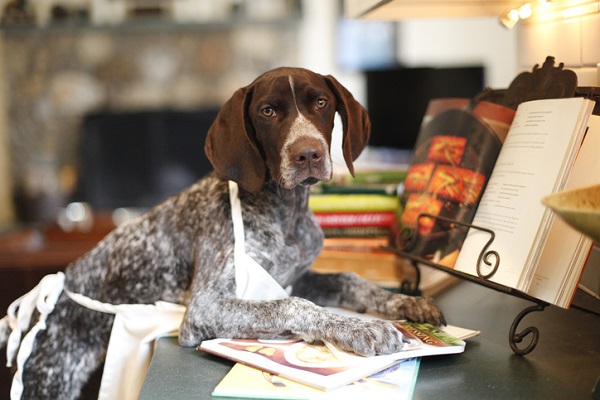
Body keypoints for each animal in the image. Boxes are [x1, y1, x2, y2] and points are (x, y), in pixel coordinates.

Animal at [1, 67, 446, 398]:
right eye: (268, 111)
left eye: (321, 102)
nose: (308, 154)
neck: (285, 213)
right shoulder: (207, 307)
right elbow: (293, 306)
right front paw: (362, 328)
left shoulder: (295, 275)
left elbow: (350, 279)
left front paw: (405, 304)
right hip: (48, 379)